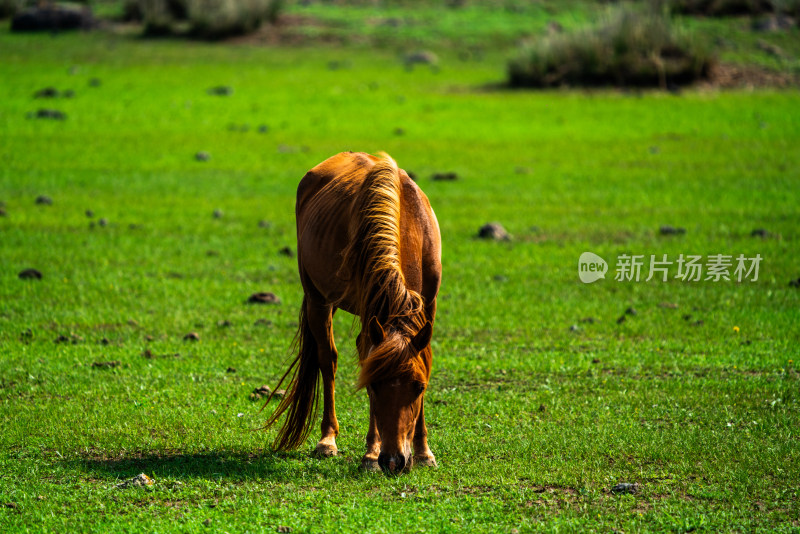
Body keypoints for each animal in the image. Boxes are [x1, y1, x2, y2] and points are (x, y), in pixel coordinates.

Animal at [268, 153, 444, 476]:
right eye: (372, 386)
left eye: (419, 387)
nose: (394, 461)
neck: (406, 224)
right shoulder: (370, 307)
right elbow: (364, 360)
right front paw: (371, 455)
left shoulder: (429, 305)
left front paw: (424, 452)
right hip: (318, 299)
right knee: (328, 360)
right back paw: (327, 441)